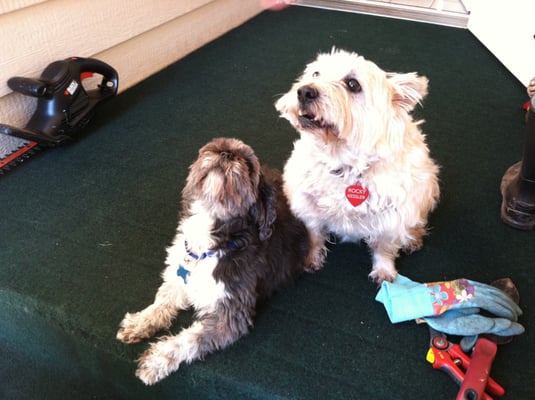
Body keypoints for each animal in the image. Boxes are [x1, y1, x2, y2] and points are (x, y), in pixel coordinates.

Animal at [276, 48, 440, 282]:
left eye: (353, 84)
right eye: (315, 73)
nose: (305, 91)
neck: (344, 165)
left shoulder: (392, 217)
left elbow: (385, 246)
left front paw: (384, 270)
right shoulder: (307, 206)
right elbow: (314, 235)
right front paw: (311, 258)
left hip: (427, 186)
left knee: (418, 219)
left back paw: (413, 237)